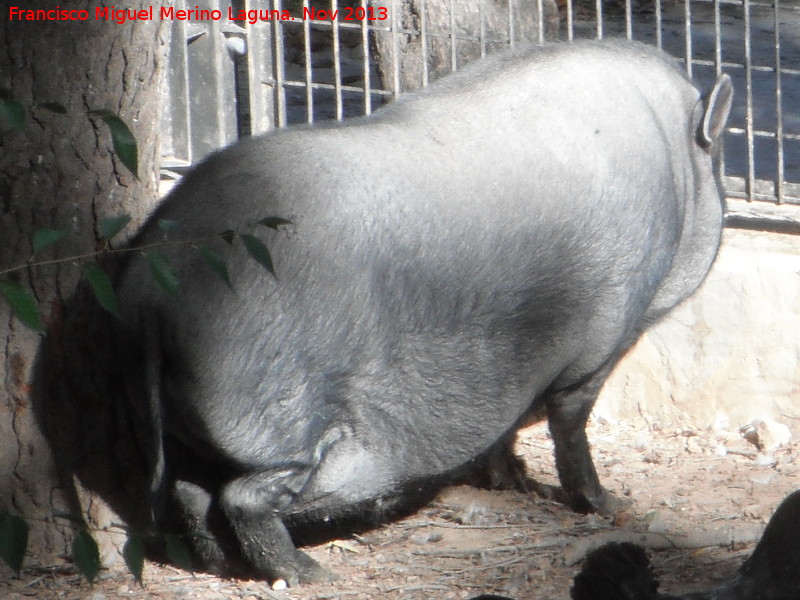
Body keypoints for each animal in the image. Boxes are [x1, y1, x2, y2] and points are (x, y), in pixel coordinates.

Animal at [111, 37, 732, 584]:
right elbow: (571, 428)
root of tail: (152, 288)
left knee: (191, 492)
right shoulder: (600, 345)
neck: (677, 163)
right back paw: (312, 573)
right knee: (242, 496)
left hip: (193, 423)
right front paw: (611, 506)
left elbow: (505, 433)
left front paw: (514, 484)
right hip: (294, 423)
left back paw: (225, 567)